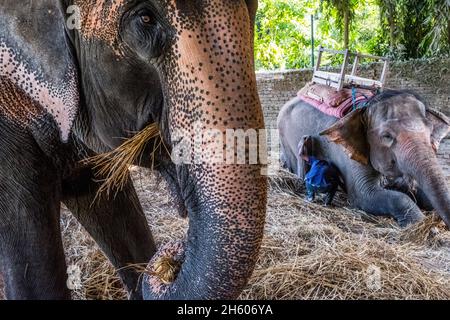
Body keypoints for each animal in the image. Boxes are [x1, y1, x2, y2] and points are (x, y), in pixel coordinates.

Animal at [278, 90, 450, 228]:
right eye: (387, 136)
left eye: (430, 131)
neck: (363, 109)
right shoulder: (348, 154)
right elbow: (363, 195)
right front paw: (419, 223)